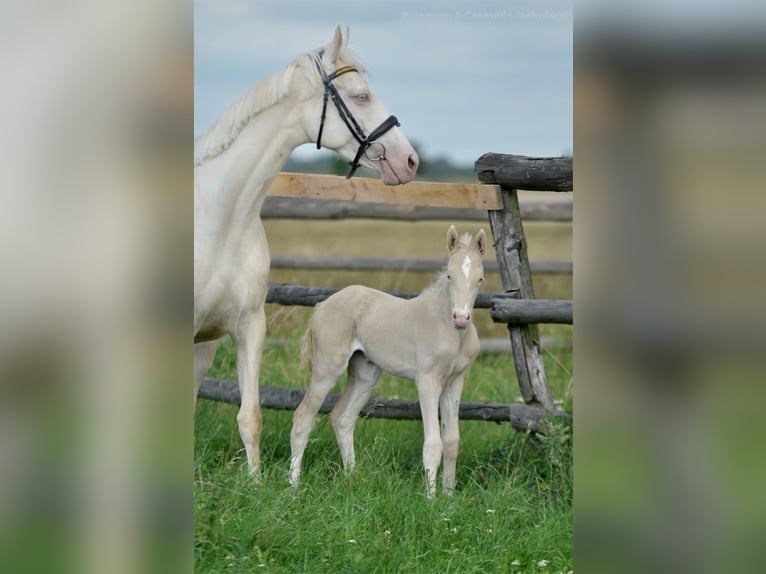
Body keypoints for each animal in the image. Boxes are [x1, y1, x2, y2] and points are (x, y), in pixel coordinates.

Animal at [194, 26, 419, 479]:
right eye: (361, 95)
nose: (410, 160)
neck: (220, 220)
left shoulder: (248, 328)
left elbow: (250, 416)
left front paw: (255, 485)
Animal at [290, 226, 487, 497]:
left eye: (480, 279)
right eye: (449, 275)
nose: (461, 318)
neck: (448, 327)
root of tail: (321, 306)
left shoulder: (455, 381)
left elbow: (452, 441)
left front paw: (448, 496)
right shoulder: (427, 380)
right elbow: (433, 443)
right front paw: (431, 500)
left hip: (365, 374)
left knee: (342, 418)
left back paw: (353, 480)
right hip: (328, 367)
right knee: (303, 418)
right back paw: (293, 486)